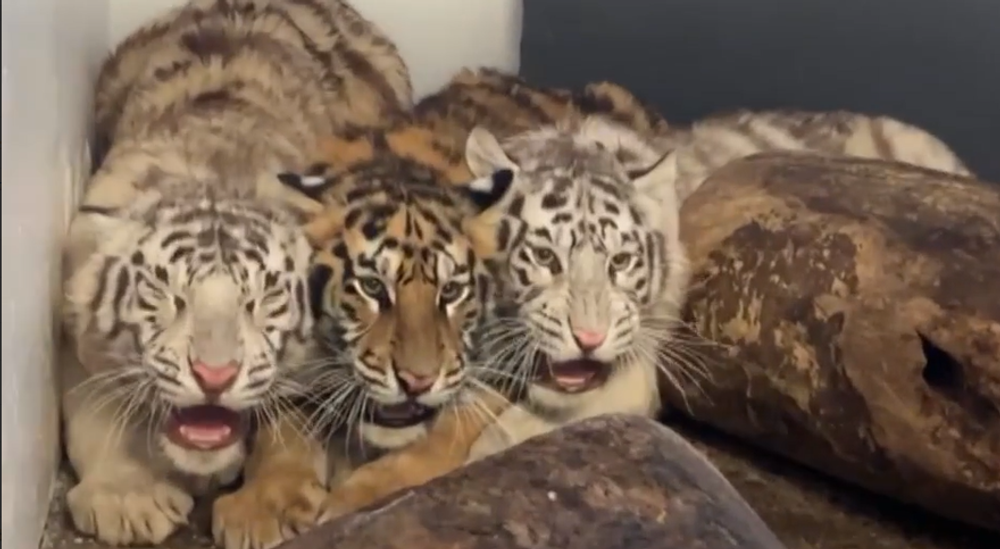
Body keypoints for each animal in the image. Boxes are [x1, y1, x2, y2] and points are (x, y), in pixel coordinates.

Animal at [60, 1, 411, 547]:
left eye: (264, 301)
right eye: (167, 295)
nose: (215, 376)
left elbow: (290, 421)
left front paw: (267, 505)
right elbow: (94, 410)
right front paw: (127, 497)